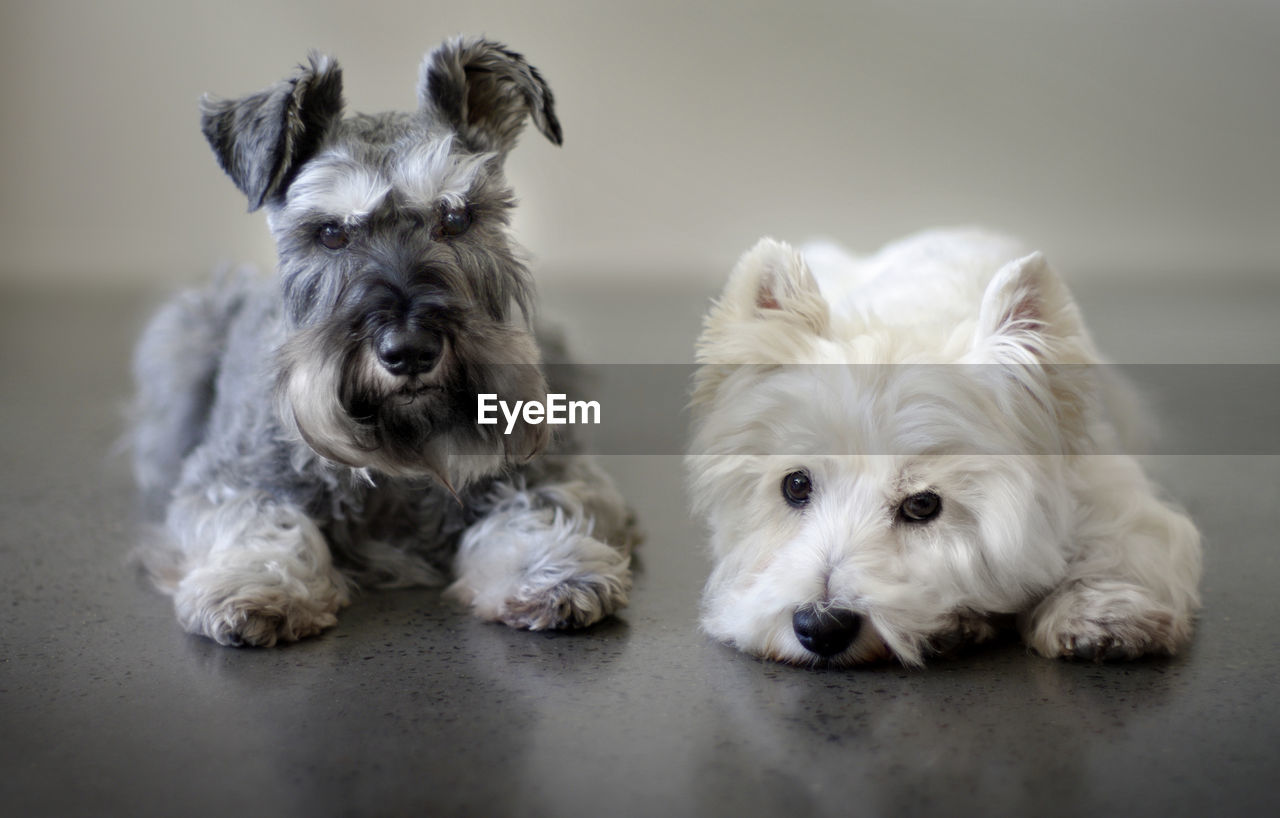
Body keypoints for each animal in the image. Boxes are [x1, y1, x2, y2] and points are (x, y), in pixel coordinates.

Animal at [132, 36, 637, 645]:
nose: (410, 351)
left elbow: (538, 507)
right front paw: (257, 583)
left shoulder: (554, 470)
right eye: (330, 233)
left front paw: (551, 571)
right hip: (184, 337)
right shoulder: (228, 478)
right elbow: (259, 518)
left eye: (458, 218)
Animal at [691, 229, 1198, 665]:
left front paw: (1101, 615)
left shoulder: (1104, 480)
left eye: (922, 505)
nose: (820, 628)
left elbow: (1122, 540)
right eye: (795, 485)